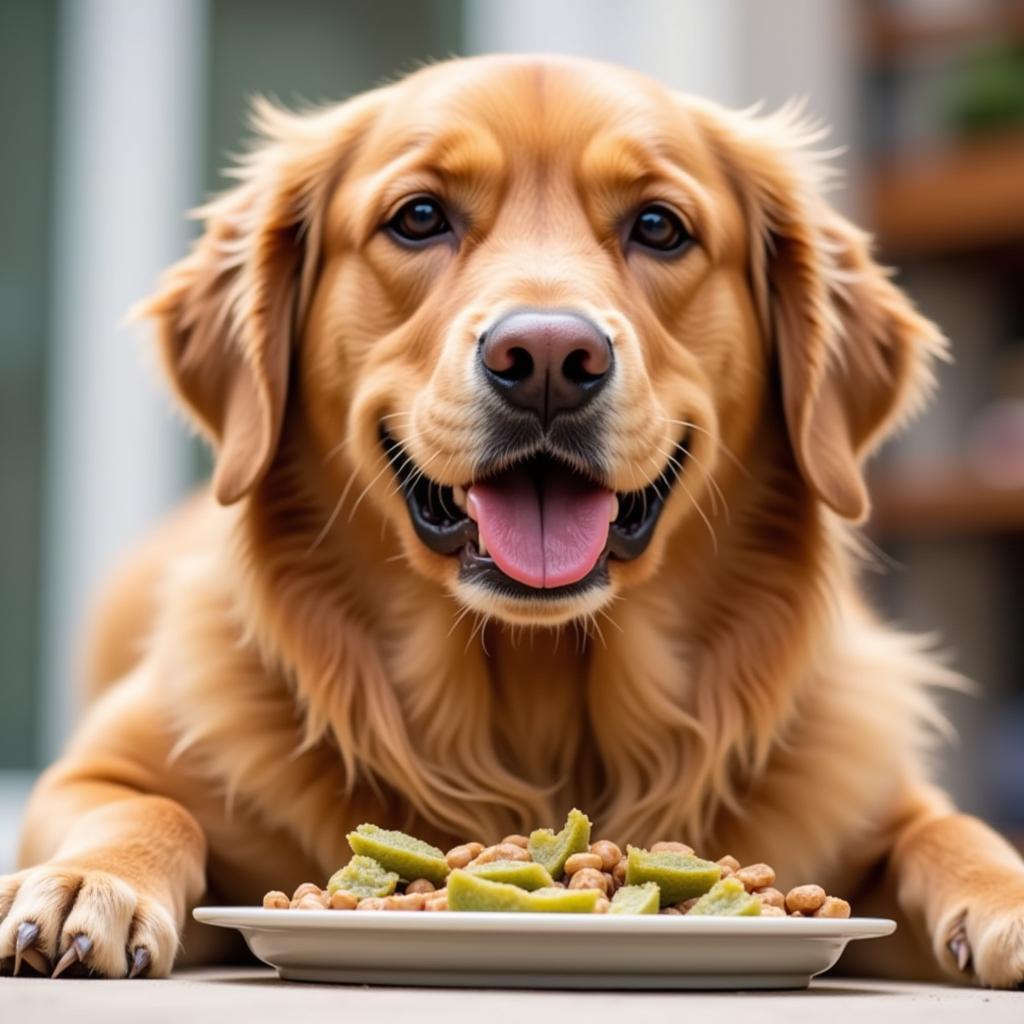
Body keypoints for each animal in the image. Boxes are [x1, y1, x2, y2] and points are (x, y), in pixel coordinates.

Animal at [2, 56, 1024, 983]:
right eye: (419, 217)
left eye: (660, 226)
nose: (546, 358)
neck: (533, 704)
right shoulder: (99, 769)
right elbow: (140, 807)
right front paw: (87, 880)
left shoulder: (885, 801)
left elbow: (956, 833)